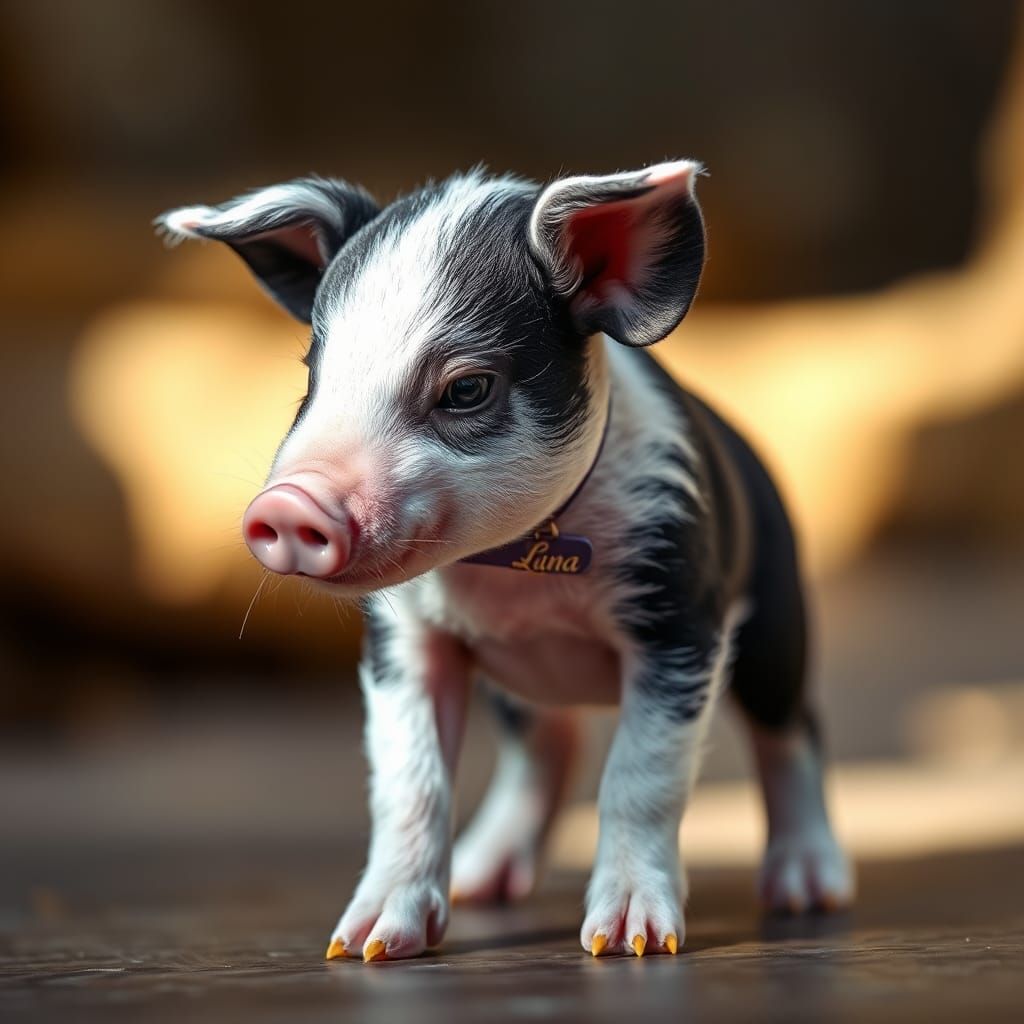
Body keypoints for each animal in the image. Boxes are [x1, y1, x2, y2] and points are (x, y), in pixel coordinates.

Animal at [157, 161, 853, 962]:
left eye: (466, 388)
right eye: (313, 376)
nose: (288, 505)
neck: (520, 588)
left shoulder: (680, 620)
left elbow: (641, 775)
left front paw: (627, 943)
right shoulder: (405, 643)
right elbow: (409, 779)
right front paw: (364, 945)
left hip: (776, 617)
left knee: (792, 729)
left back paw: (809, 892)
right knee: (551, 744)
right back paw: (479, 882)